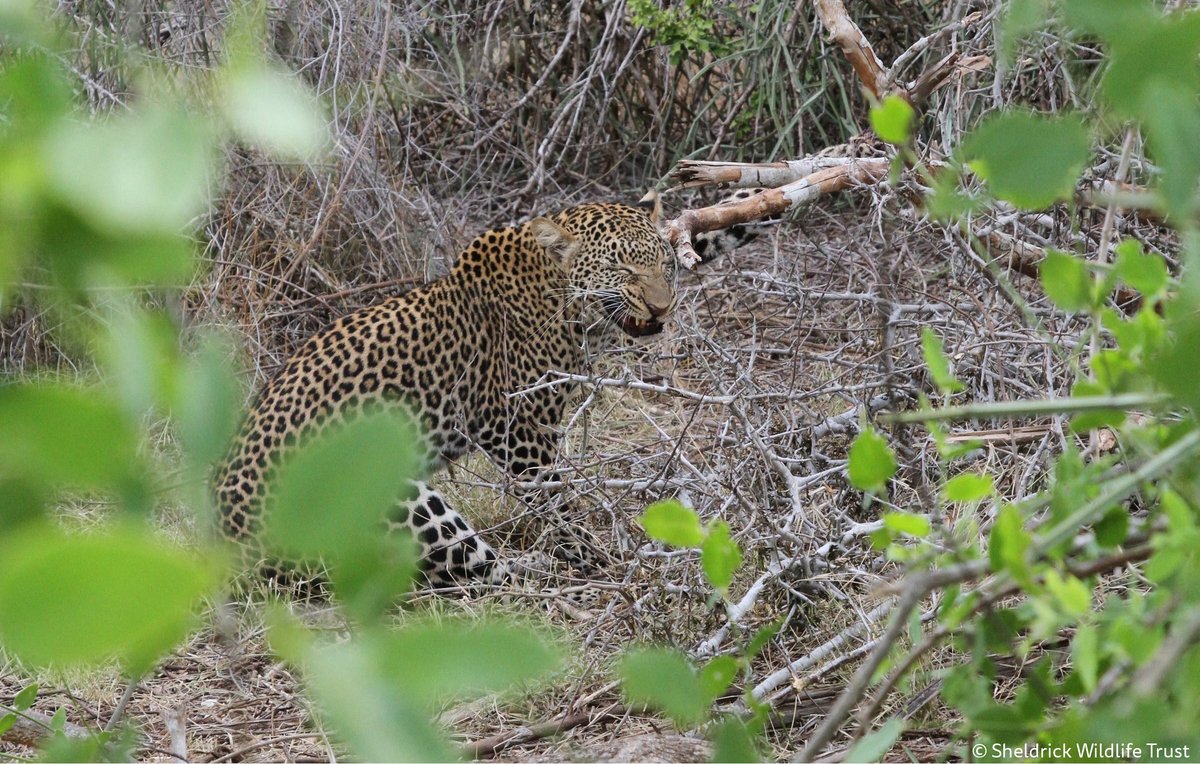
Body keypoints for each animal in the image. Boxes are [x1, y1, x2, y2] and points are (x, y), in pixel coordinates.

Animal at [213, 190, 770, 597]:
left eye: (664, 266)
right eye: (623, 270)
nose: (661, 308)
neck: (557, 287)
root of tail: (224, 547)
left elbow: (709, 224)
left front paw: (765, 195)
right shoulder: (518, 428)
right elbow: (554, 501)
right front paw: (592, 552)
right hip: (392, 497)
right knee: (488, 575)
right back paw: (559, 570)